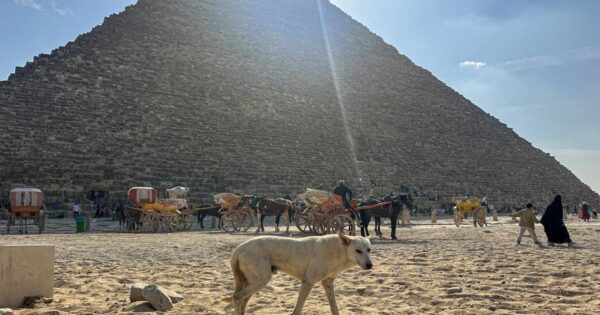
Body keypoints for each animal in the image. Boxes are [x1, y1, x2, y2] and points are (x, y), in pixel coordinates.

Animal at [227, 233, 372, 314]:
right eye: (358, 250)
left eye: (369, 250)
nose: (370, 265)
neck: (339, 250)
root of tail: (240, 248)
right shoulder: (307, 282)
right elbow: (298, 310)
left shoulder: (327, 283)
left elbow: (334, 308)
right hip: (261, 280)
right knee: (237, 297)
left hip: (252, 283)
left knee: (243, 301)